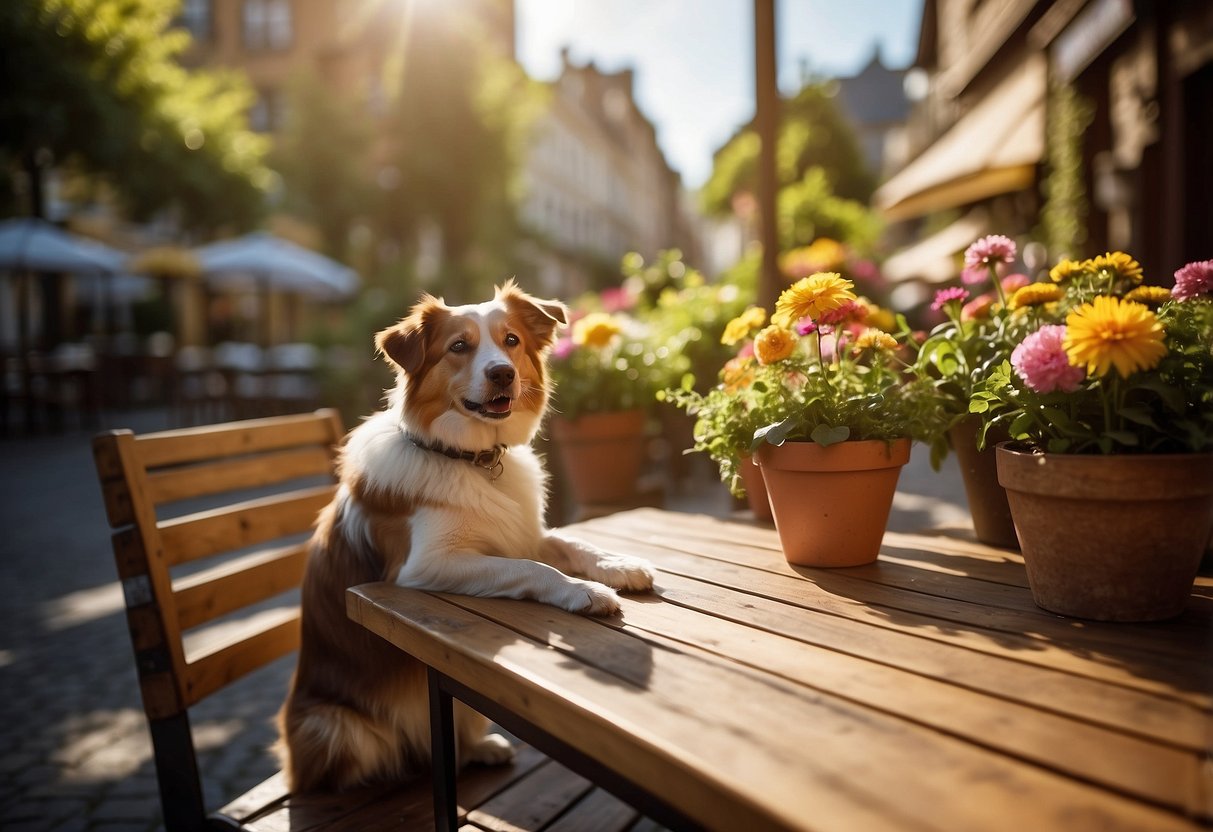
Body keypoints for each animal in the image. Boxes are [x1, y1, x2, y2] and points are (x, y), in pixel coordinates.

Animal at [277, 280, 655, 795]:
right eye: (459, 347)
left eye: (511, 340)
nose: (502, 373)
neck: (470, 458)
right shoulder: (425, 564)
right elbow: (531, 567)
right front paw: (585, 592)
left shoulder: (521, 531)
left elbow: (570, 545)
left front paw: (619, 565)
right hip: (335, 727)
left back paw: (480, 749)